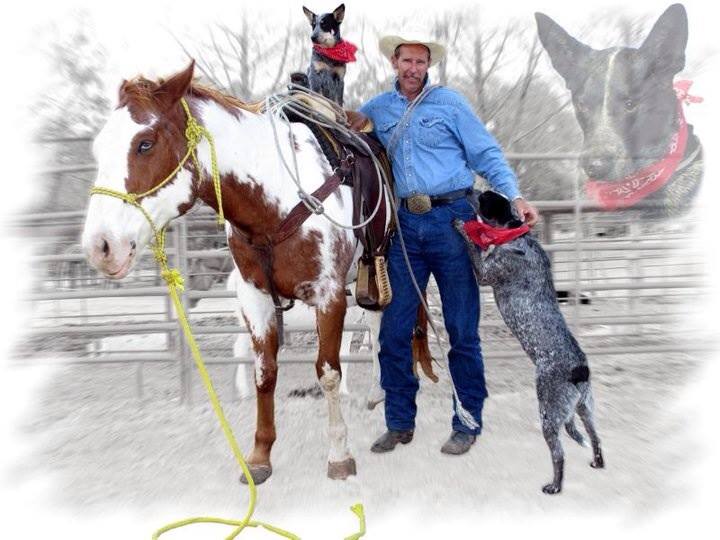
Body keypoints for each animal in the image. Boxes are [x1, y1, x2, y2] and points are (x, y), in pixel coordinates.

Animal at [82, 61, 390, 484]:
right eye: (99, 146)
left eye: (145, 143)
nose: (100, 245)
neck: (276, 202)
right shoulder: (254, 298)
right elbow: (264, 372)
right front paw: (259, 456)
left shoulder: (328, 295)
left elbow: (328, 372)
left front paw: (339, 455)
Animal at [456, 192, 600, 496]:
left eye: (484, 198)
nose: (469, 189)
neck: (515, 234)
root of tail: (580, 370)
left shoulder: (485, 273)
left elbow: (473, 247)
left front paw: (461, 226)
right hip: (584, 408)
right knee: (595, 437)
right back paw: (597, 462)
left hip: (548, 413)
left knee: (559, 454)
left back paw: (555, 486)